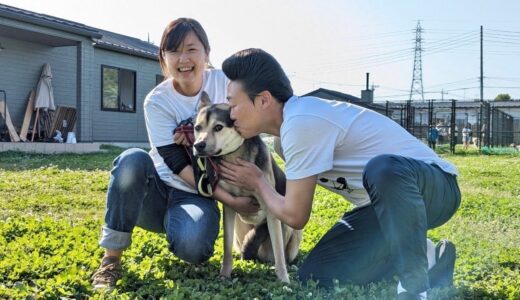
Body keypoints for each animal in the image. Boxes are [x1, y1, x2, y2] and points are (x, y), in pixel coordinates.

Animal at [194, 92, 302, 284]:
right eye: (197, 127)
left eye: (218, 127)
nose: (198, 146)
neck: (234, 155)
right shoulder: (229, 207)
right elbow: (226, 246)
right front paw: (225, 274)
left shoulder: (271, 210)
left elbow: (279, 253)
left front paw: (284, 280)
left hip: (293, 231)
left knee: (283, 254)